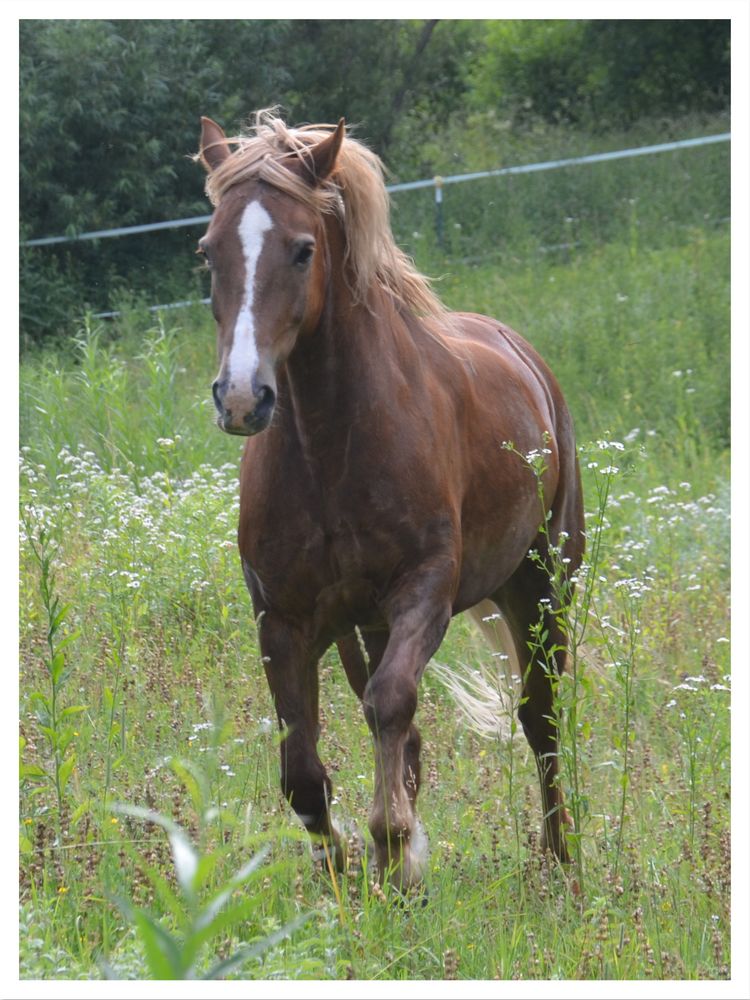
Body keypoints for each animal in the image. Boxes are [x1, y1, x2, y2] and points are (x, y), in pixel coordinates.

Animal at [195, 111, 588, 892]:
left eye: (302, 249)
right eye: (208, 251)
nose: (243, 398)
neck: (332, 448)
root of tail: (525, 359)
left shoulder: (423, 593)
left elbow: (393, 704)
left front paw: (393, 847)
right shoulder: (284, 620)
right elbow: (303, 770)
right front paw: (348, 872)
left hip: (542, 585)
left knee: (540, 720)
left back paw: (559, 863)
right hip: (367, 627)